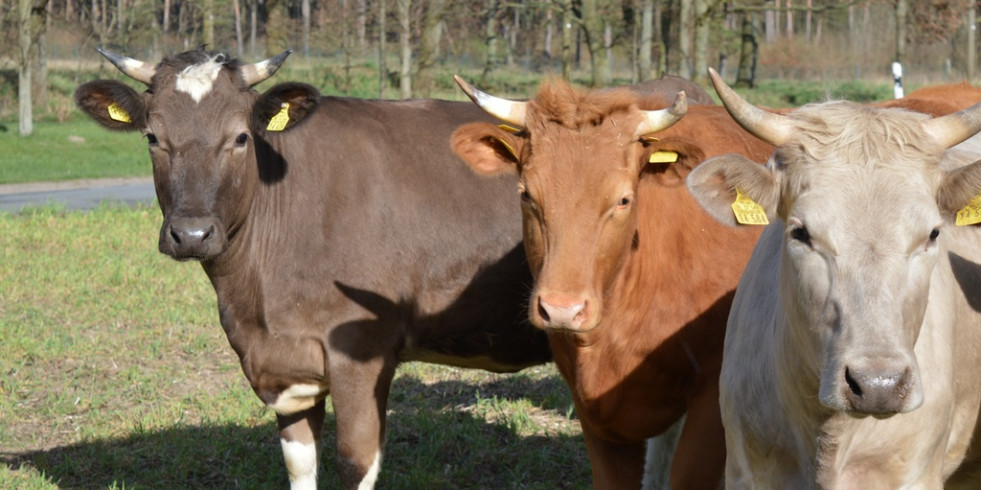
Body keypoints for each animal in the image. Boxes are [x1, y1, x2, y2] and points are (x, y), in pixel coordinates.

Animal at [72, 48, 556, 490]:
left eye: (241, 137)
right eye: (151, 137)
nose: (191, 234)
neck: (255, 303)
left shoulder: (361, 352)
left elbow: (354, 462)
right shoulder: (287, 367)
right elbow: (299, 464)